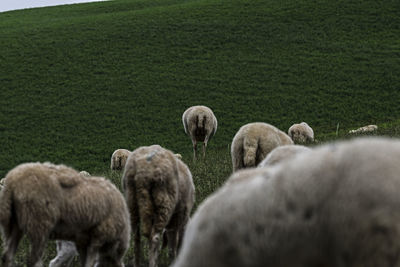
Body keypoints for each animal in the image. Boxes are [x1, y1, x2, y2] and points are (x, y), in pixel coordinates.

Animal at [0, 162, 130, 266]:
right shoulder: (96, 240)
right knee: (36, 259)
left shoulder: (84, 244)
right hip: (40, 226)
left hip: (15, 225)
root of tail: (12, 182)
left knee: (9, 255)